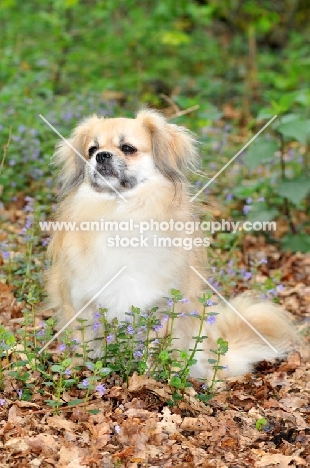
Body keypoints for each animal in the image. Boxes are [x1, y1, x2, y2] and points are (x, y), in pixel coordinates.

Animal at [45, 108, 294, 378]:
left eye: (128, 148)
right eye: (91, 150)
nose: (101, 155)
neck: (120, 210)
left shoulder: (162, 308)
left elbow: (153, 350)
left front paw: (150, 377)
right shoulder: (79, 304)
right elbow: (82, 345)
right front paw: (81, 373)